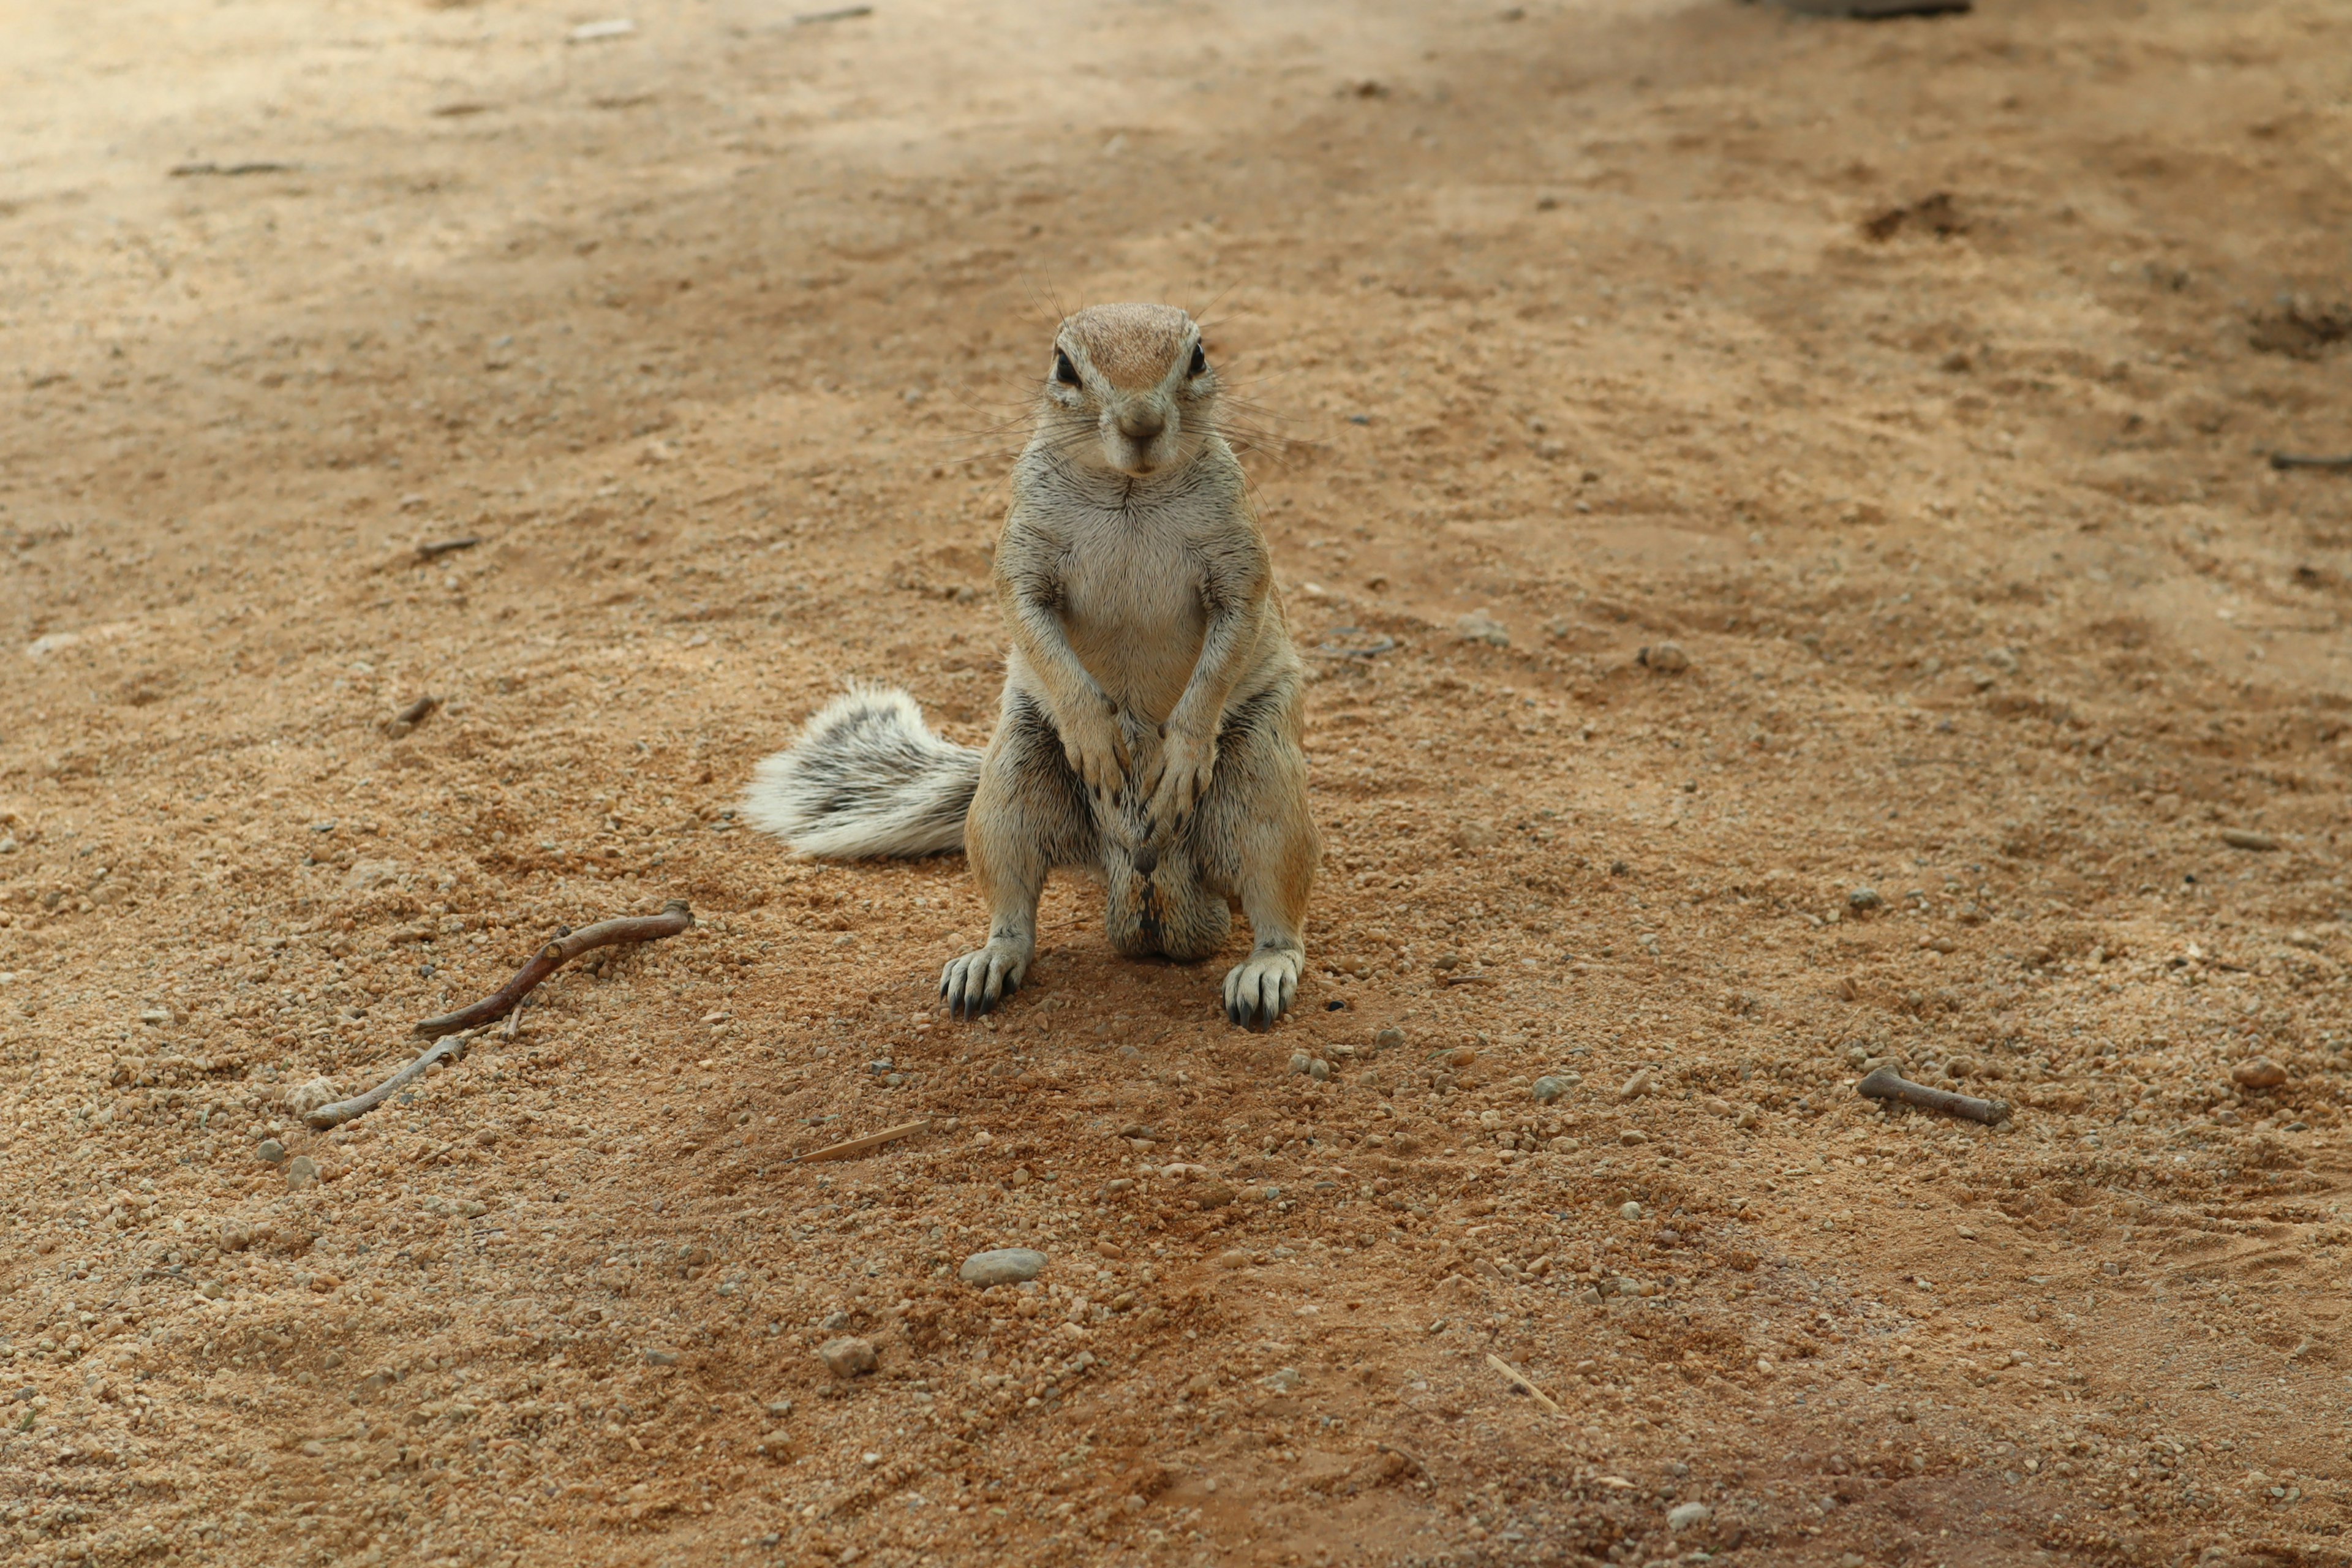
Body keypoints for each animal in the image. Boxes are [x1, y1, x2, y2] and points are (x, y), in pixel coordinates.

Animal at [743, 303, 1317, 1030]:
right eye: (1064, 366)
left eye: (1198, 357)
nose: (1141, 424)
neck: (1130, 489)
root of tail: (1139, 872)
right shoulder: (1024, 553)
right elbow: (1031, 624)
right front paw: (1094, 734)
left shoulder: (1239, 560)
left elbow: (1230, 641)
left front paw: (1184, 748)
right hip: (1007, 793)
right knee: (1014, 910)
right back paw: (987, 963)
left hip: (1266, 787)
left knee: (1279, 909)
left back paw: (1265, 971)